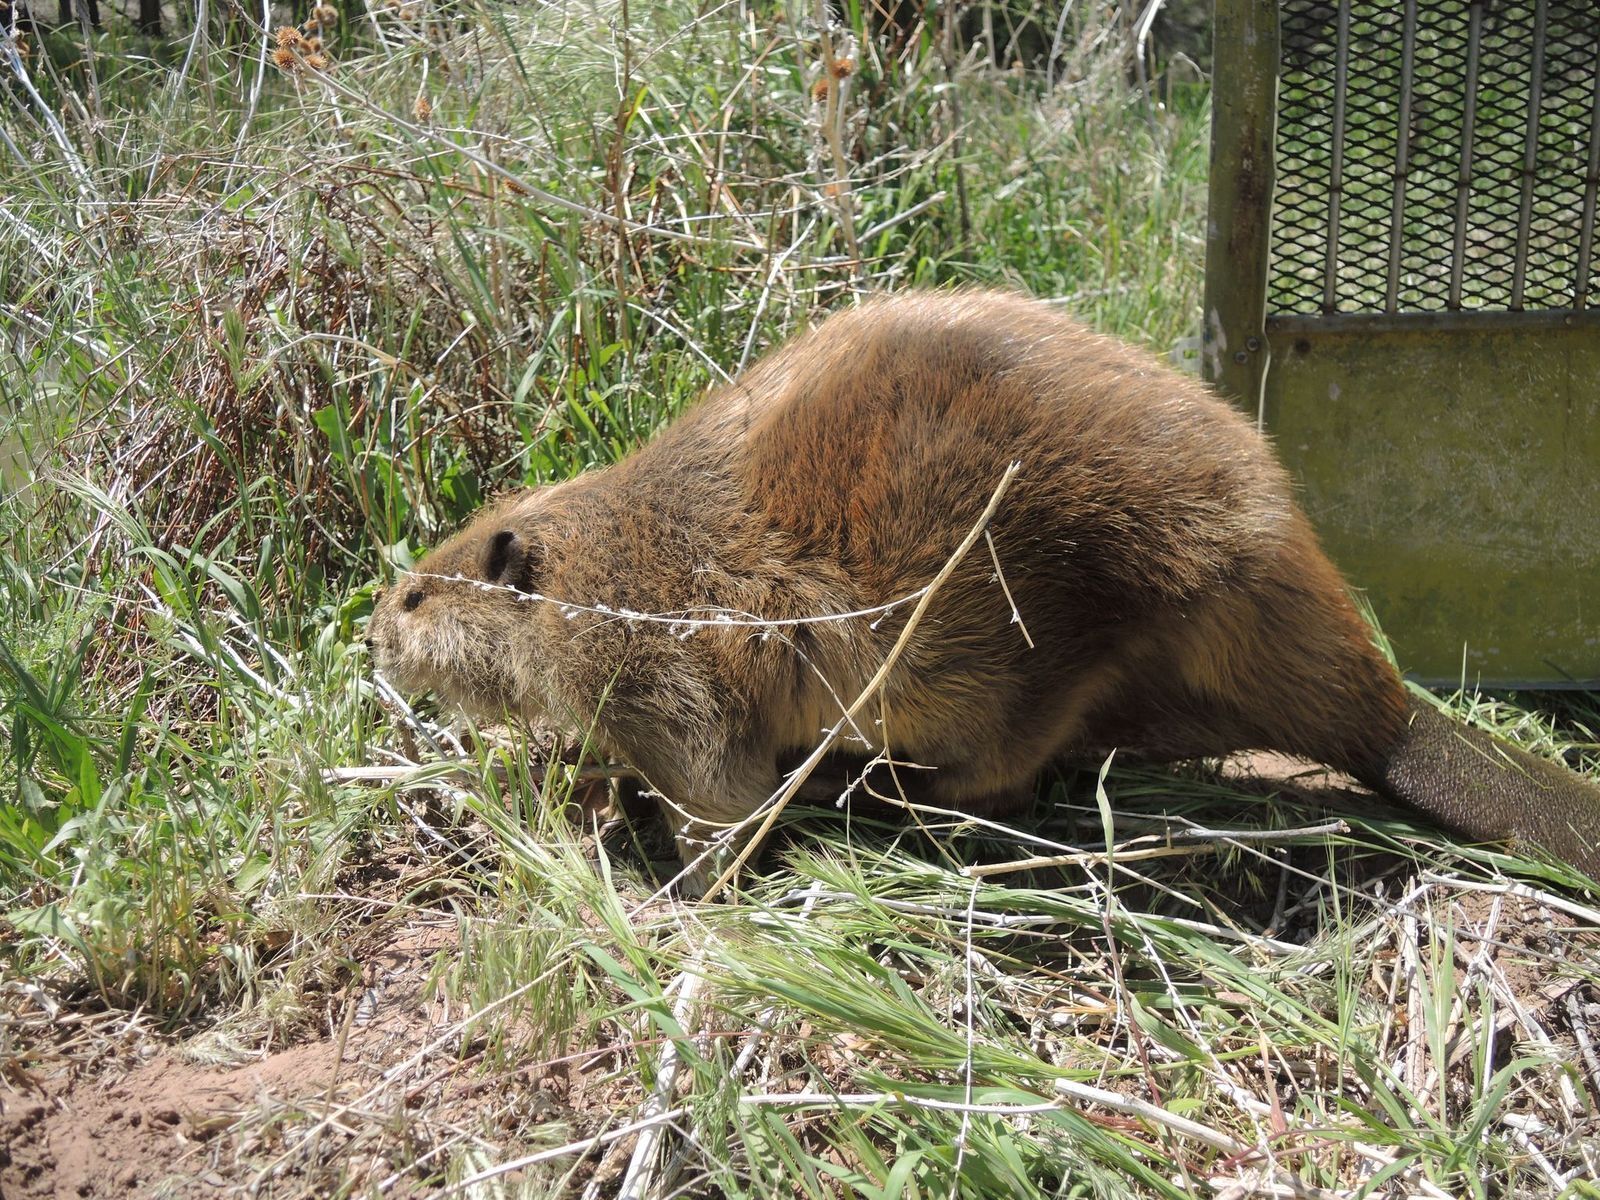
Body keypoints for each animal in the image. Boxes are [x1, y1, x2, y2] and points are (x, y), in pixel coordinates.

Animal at [366, 289, 1600, 876]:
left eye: (418, 595)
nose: (371, 633)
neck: (609, 557)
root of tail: (1392, 719)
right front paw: (577, 781)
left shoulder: (668, 664)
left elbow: (720, 796)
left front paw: (676, 880)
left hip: (1055, 622)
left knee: (1000, 773)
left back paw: (874, 792)